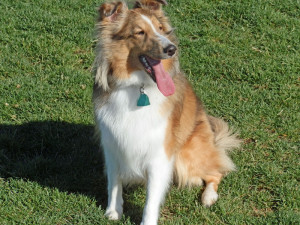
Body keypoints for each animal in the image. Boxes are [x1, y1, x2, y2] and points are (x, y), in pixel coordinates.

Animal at [92, 0, 240, 224]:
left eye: (160, 28)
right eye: (139, 32)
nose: (171, 49)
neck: (137, 88)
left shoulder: (159, 153)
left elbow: (151, 199)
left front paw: (147, 221)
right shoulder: (113, 143)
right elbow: (114, 182)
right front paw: (113, 212)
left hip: (187, 156)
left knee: (216, 171)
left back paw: (209, 196)